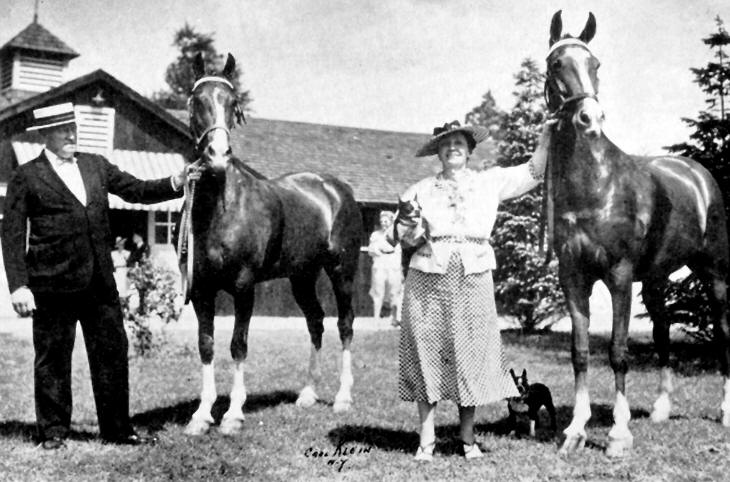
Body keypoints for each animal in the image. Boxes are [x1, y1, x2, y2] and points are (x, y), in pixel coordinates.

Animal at [181, 53, 362, 436]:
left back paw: (342, 398)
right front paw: (202, 415)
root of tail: (336, 189)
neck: (223, 208)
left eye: (232, 103)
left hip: (341, 272)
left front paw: (233, 414)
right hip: (302, 277)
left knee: (345, 325)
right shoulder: (202, 290)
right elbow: (206, 345)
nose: (217, 155)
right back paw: (307, 394)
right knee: (316, 322)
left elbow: (238, 345)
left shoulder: (243, 287)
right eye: (197, 100)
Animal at [544, 11, 728, 456]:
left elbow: (618, 351)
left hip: (715, 274)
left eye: (595, 64)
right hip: (657, 281)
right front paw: (575, 431)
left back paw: (725, 411)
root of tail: (698, 175)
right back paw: (661, 410)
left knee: (722, 332)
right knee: (662, 332)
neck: (596, 186)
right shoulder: (573, 278)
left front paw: (618, 433)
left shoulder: (619, 276)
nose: (590, 120)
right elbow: (580, 353)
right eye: (557, 63)